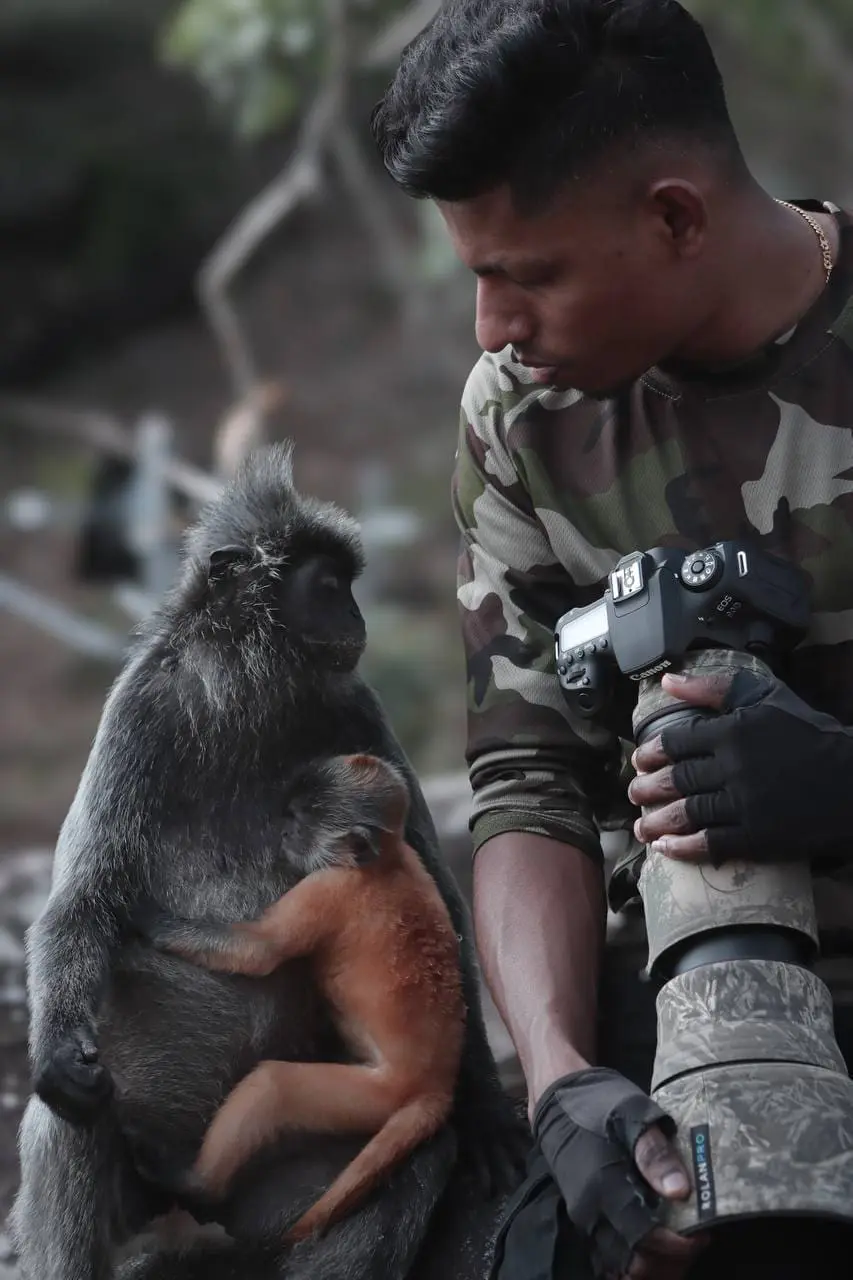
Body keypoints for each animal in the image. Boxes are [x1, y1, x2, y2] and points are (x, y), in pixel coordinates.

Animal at [131, 752, 466, 1244]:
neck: (383, 865)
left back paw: (197, 1183)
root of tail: (437, 1085)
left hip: (377, 1094)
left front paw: (143, 917)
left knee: (274, 1085)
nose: (284, 833)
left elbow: (262, 952)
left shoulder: (330, 887)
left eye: (302, 820)